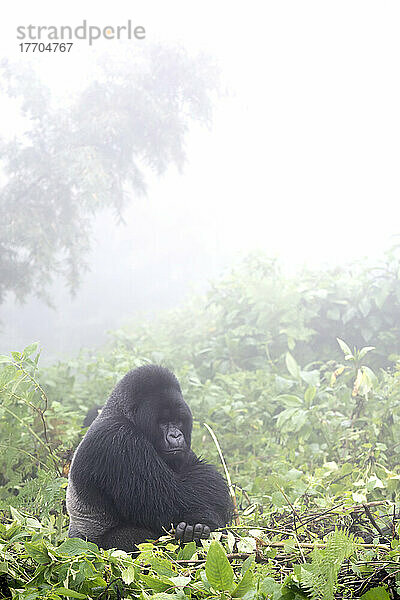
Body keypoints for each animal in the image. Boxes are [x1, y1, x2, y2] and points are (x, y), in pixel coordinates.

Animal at [66, 364, 231, 552]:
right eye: (163, 422)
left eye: (178, 420)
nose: (176, 435)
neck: (122, 413)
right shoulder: (118, 439)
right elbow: (173, 503)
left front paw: (197, 529)